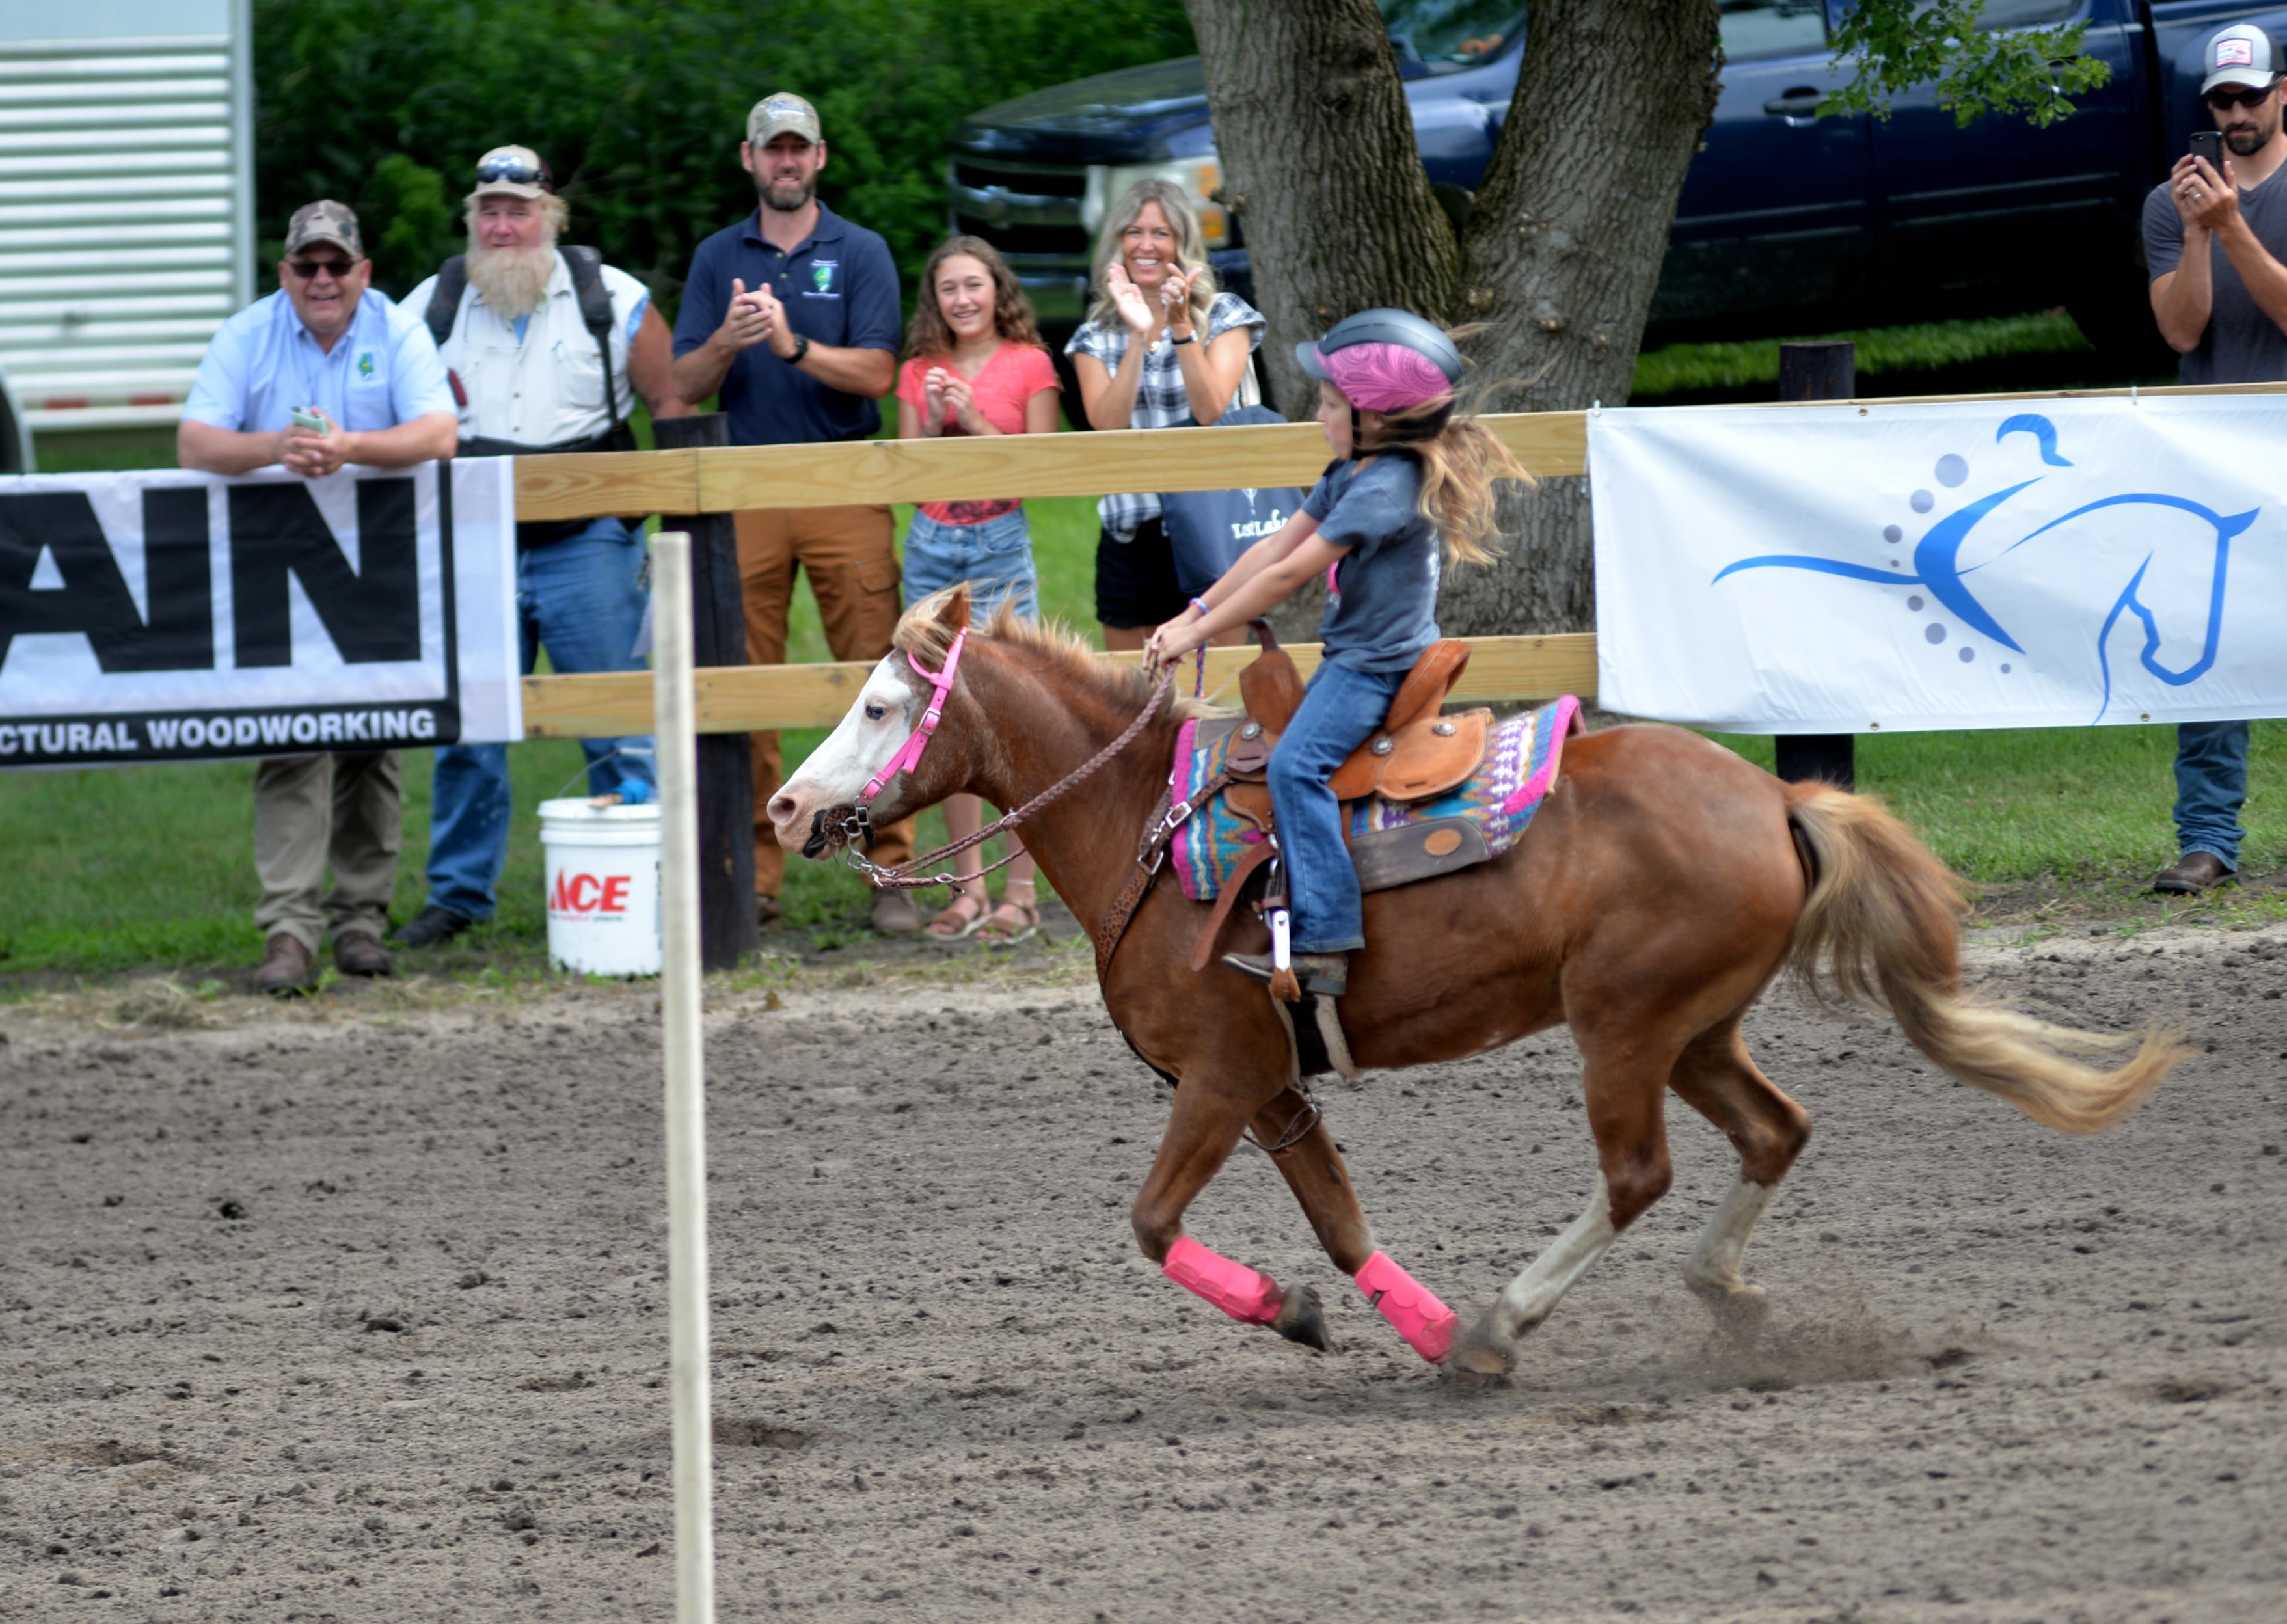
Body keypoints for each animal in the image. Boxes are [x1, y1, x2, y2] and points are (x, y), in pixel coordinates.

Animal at [778, 585, 2186, 1372]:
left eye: (880, 709)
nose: (789, 808)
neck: (1143, 825)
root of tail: (1776, 797)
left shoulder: (1222, 1076)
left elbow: (1152, 1223)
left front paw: (1322, 1315)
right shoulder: (1275, 1088)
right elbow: (1343, 1227)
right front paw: (1405, 1331)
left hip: (1621, 1026)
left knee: (1638, 1174)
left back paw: (1517, 1314)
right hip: (1696, 1029)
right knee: (1774, 1132)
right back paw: (1705, 1294)